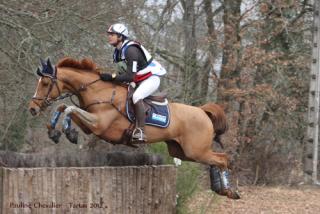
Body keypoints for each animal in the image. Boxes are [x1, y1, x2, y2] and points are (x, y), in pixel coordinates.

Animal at [28, 57, 239, 199]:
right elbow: (63, 107)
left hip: (195, 150)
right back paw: (222, 189)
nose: (32, 109)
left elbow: (69, 108)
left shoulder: (99, 124)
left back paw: (229, 190)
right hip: (182, 151)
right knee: (218, 159)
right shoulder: (91, 126)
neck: (98, 91)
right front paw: (55, 131)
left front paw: (67, 132)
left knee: (223, 159)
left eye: (45, 83)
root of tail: (203, 111)